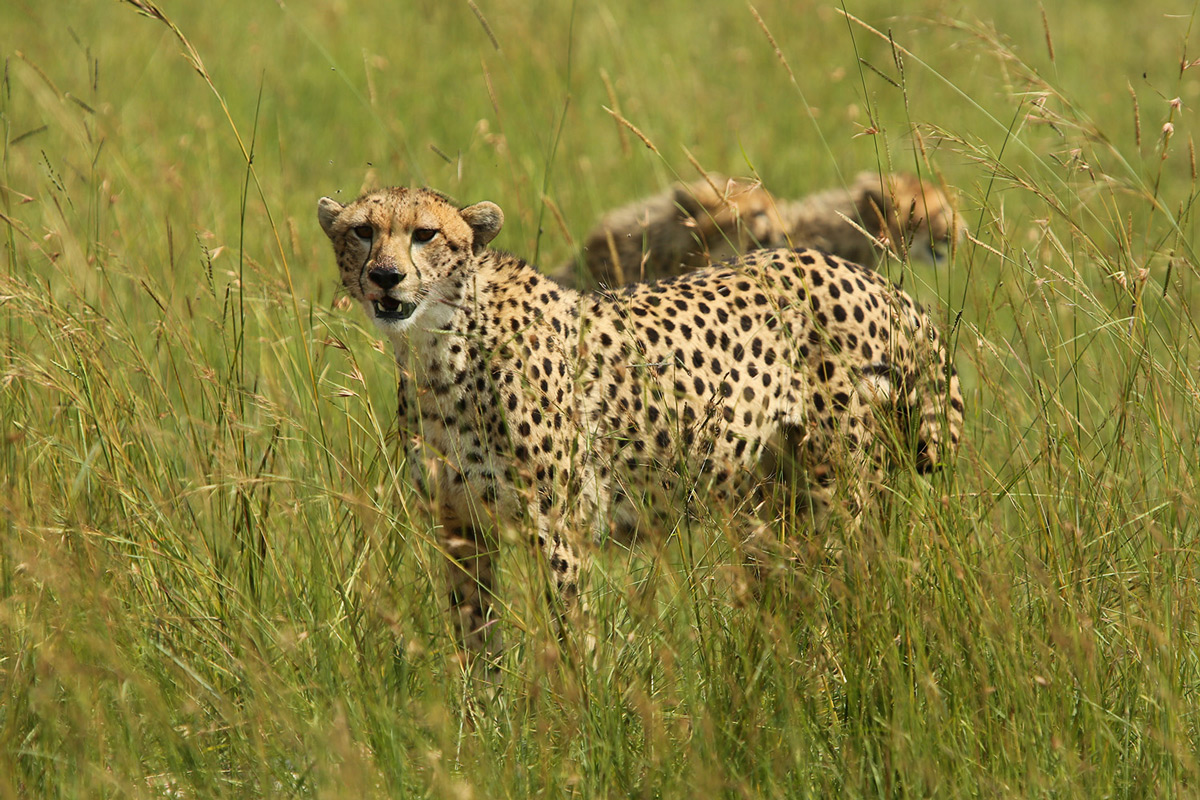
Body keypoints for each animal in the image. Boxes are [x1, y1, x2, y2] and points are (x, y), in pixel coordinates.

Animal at [319, 185, 964, 657]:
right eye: (362, 231)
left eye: (424, 234)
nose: (385, 276)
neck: (439, 347)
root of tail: (856, 272)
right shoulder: (459, 528)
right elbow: (475, 643)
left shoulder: (559, 529)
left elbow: (571, 637)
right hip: (768, 502)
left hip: (839, 486)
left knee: (862, 580)